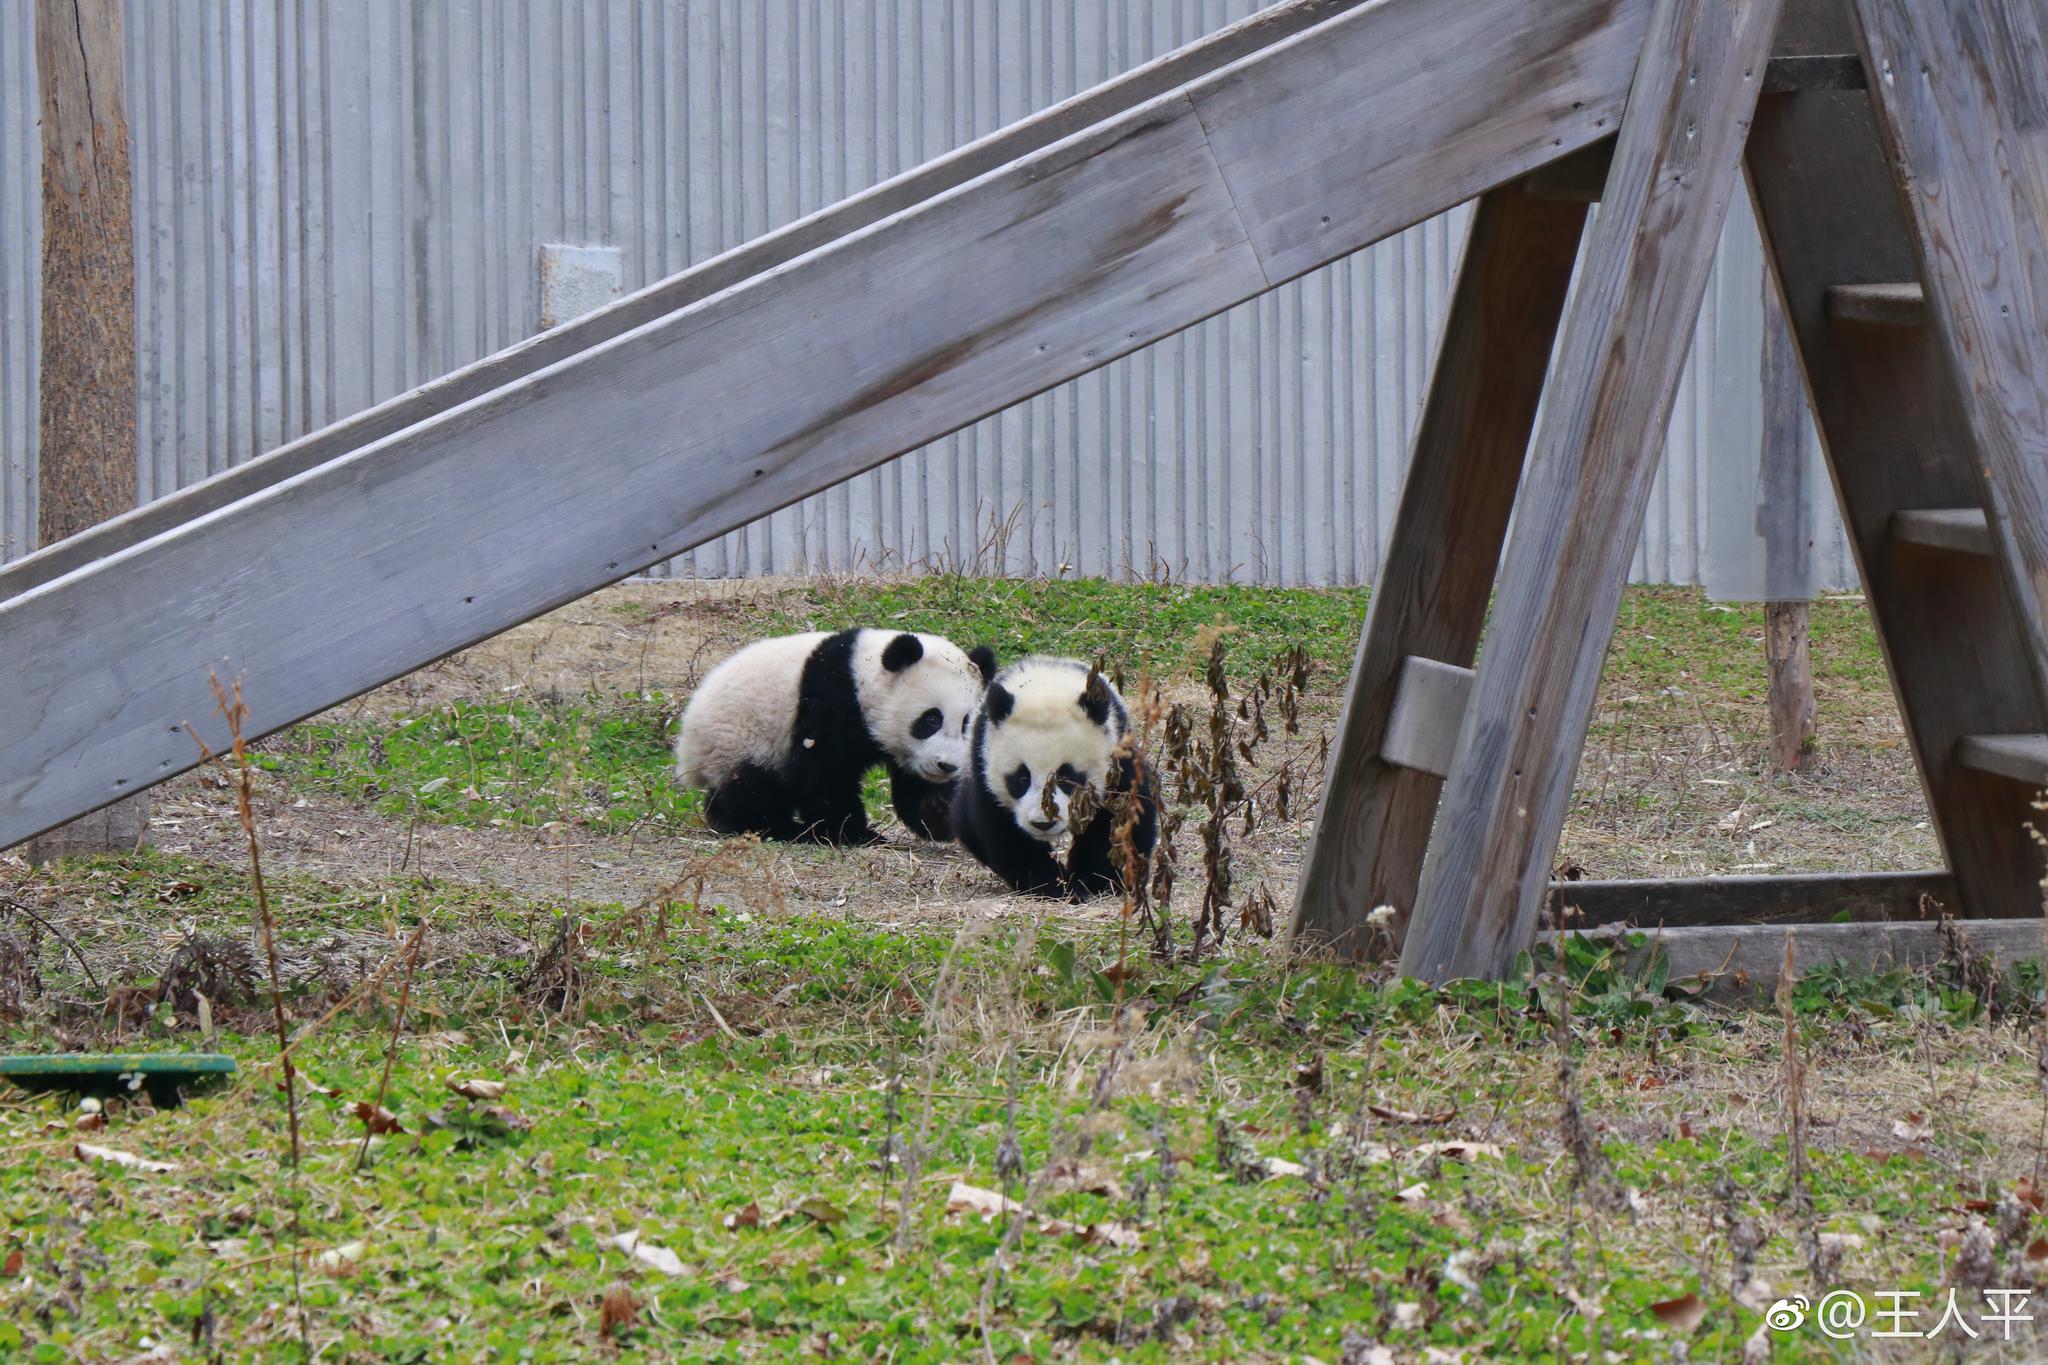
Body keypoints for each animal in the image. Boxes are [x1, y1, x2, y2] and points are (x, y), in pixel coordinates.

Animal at [675, 630, 995, 843]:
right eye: (931, 719)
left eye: (966, 723)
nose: (947, 766)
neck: (863, 671)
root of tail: (688, 747)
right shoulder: (831, 700)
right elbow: (822, 775)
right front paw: (853, 832)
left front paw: (938, 813)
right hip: (742, 741)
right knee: (753, 788)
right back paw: (775, 828)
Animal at [950, 654, 1163, 900]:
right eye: (1022, 778)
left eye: (1066, 777)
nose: (1044, 823)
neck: (1046, 685)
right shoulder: (983, 764)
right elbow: (1004, 832)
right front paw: (1058, 886)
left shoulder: (1117, 753)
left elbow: (1120, 817)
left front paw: (1098, 881)